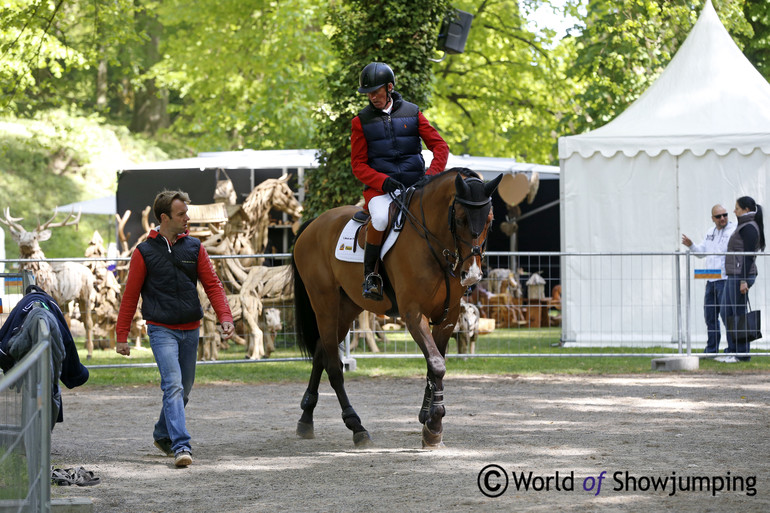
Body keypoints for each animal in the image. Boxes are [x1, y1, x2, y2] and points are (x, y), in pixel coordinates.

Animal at [292, 169, 500, 448]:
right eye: (460, 218)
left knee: (320, 353)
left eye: (490, 219)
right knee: (334, 366)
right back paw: (356, 426)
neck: (434, 245)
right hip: (324, 304)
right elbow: (437, 364)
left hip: (347, 308)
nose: (472, 274)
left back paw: (306, 417)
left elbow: (435, 364)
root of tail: (314, 223)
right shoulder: (413, 314)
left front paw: (427, 417)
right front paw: (434, 425)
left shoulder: (448, 316)